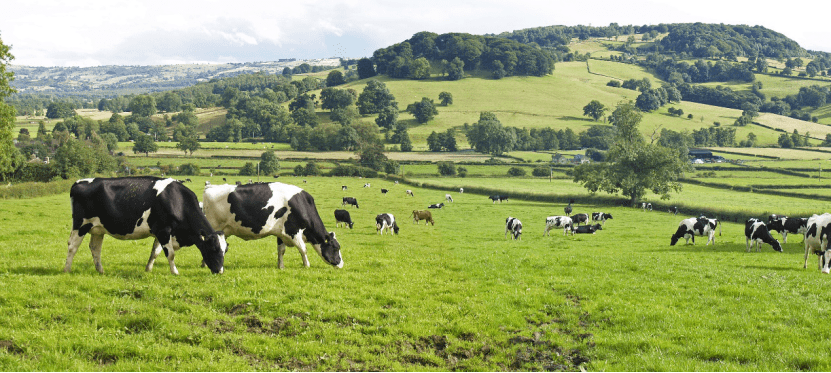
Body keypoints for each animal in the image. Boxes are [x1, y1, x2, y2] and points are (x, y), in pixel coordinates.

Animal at [65, 176, 228, 274]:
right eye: (213, 248)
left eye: (225, 250)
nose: (220, 271)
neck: (177, 200)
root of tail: (78, 182)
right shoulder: (163, 230)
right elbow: (170, 253)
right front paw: (175, 272)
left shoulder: (160, 232)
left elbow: (155, 252)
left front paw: (148, 269)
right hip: (81, 225)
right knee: (72, 246)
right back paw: (67, 269)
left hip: (98, 229)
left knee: (95, 248)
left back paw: (100, 270)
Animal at [205, 180, 344, 268]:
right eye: (336, 248)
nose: (341, 264)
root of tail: (210, 187)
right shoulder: (293, 231)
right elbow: (303, 249)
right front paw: (307, 265)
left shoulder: (281, 233)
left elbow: (281, 250)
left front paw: (280, 266)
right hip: (214, 227)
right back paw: (206, 264)